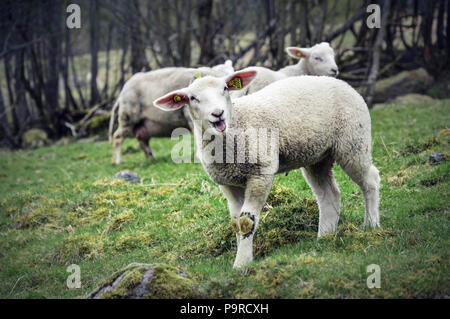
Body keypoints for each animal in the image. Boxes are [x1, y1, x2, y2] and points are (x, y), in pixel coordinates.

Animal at [154, 70, 380, 270]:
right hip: (318, 156)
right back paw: (325, 236)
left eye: (225, 88)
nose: (218, 114)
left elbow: (246, 221)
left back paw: (371, 224)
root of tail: (342, 83)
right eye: (192, 98)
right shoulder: (228, 183)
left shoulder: (260, 172)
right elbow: (235, 224)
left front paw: (242, 264)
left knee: (370, 180)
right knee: (329, 194)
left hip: (353, 141)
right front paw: (241, 255)